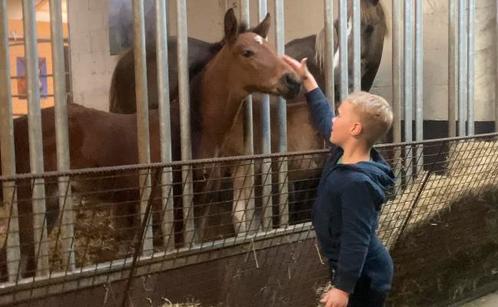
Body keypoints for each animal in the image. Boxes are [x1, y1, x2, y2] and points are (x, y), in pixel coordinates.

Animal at [0, 8, 300, 280]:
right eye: (247, 52)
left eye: (271, 48)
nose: (293, 81)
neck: (191, 131)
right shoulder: (174, 206)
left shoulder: (200, 206)